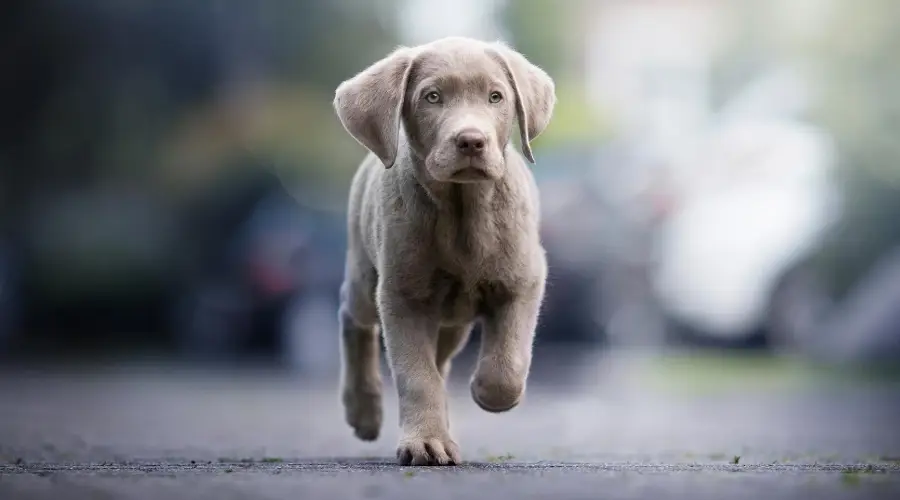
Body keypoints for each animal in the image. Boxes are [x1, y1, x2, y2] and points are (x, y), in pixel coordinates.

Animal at [332, 35, 556, 464]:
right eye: (432, 97)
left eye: (496, 97)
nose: (471, 140)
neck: (462, 212)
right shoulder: (401, 296)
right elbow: (416, 376)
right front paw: (425, 443)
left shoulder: (523, 280)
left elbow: (507, 363)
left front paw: (486, 392)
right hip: (364, 276)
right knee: (353, 319)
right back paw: (363, 411)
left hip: (452, 324)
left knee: (439, 361)